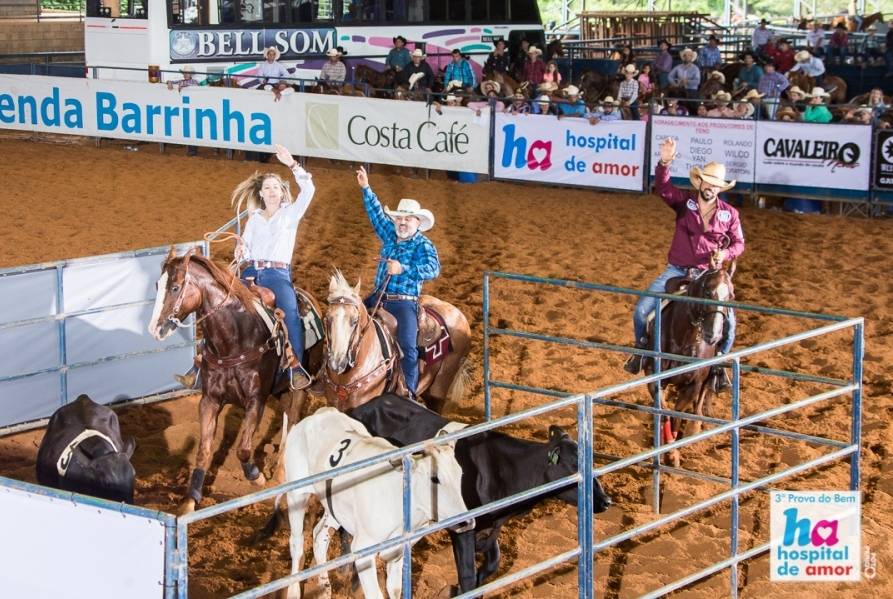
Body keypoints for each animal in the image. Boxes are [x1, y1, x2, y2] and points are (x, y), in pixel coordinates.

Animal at [148, 248, 324, 514]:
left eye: (176, 287)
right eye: (158, 285)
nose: (154, 329)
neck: (234, 338)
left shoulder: (256, 400)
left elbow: (242, 449)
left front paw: (257, 477)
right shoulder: (209, 400)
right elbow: (204, 449)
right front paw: (190, 500)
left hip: (301, 386)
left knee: (292, 419)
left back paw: (280, 475)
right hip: (281, 390)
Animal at [282, 407, 468, 599]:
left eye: (460, 474)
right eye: (434, 478)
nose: (466, 521)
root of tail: (320, 414)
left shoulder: (401, 548)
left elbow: (394, 587)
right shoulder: (363, 548)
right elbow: (375, 594)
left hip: (335, 507)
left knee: (319, 535)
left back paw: (324, 589)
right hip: (296, 494)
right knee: (297, 542)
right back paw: (293, 591)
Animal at [348, 394, 613, 589]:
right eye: (574, 464)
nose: (606, 501)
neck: (501, 468)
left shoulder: (490, 527)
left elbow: (492, 564)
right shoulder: (463, 528)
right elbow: (467, 577)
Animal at [642, 264, 736, 468]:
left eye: (731, 296)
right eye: (707, 291)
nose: (713, 335)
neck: (683, 340)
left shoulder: (693, 385)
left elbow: (678, 413)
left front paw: (672, 455)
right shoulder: (654, 380)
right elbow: (665, 411)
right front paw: (668, 449)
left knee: (705, 392)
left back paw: (696, 425)